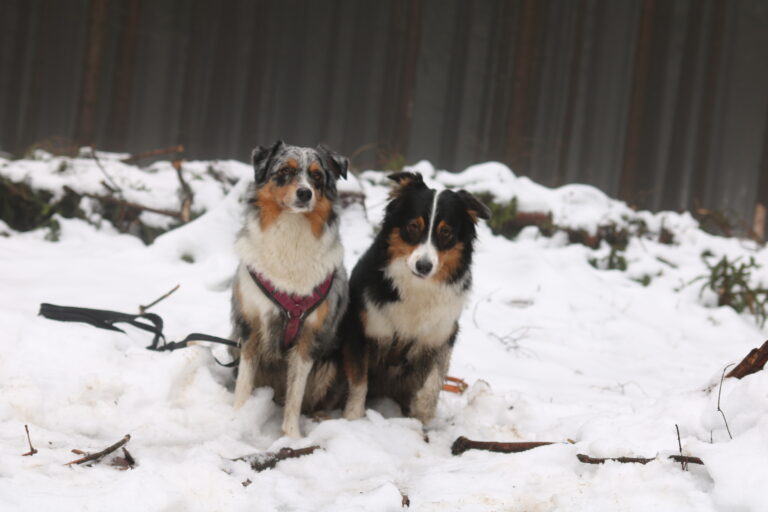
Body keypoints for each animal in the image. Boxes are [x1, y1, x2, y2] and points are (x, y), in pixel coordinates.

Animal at [228, 142, 348, 438]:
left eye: (317, 176)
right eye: (284, 171)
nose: (305, 193)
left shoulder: (308, 337)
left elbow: (296, 394)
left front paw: (292, 436)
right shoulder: (251, 326)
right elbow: (244, 384)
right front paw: (237, 420)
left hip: (331, 362)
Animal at [340, 172, 488, 424]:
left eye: (446, 232)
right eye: (413, 226)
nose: (424, 266)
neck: (417, 286)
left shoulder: (441, 334)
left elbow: (433, 380)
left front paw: (422, 414)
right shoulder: (361, 327)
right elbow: (359, 380)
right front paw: (353, 418)